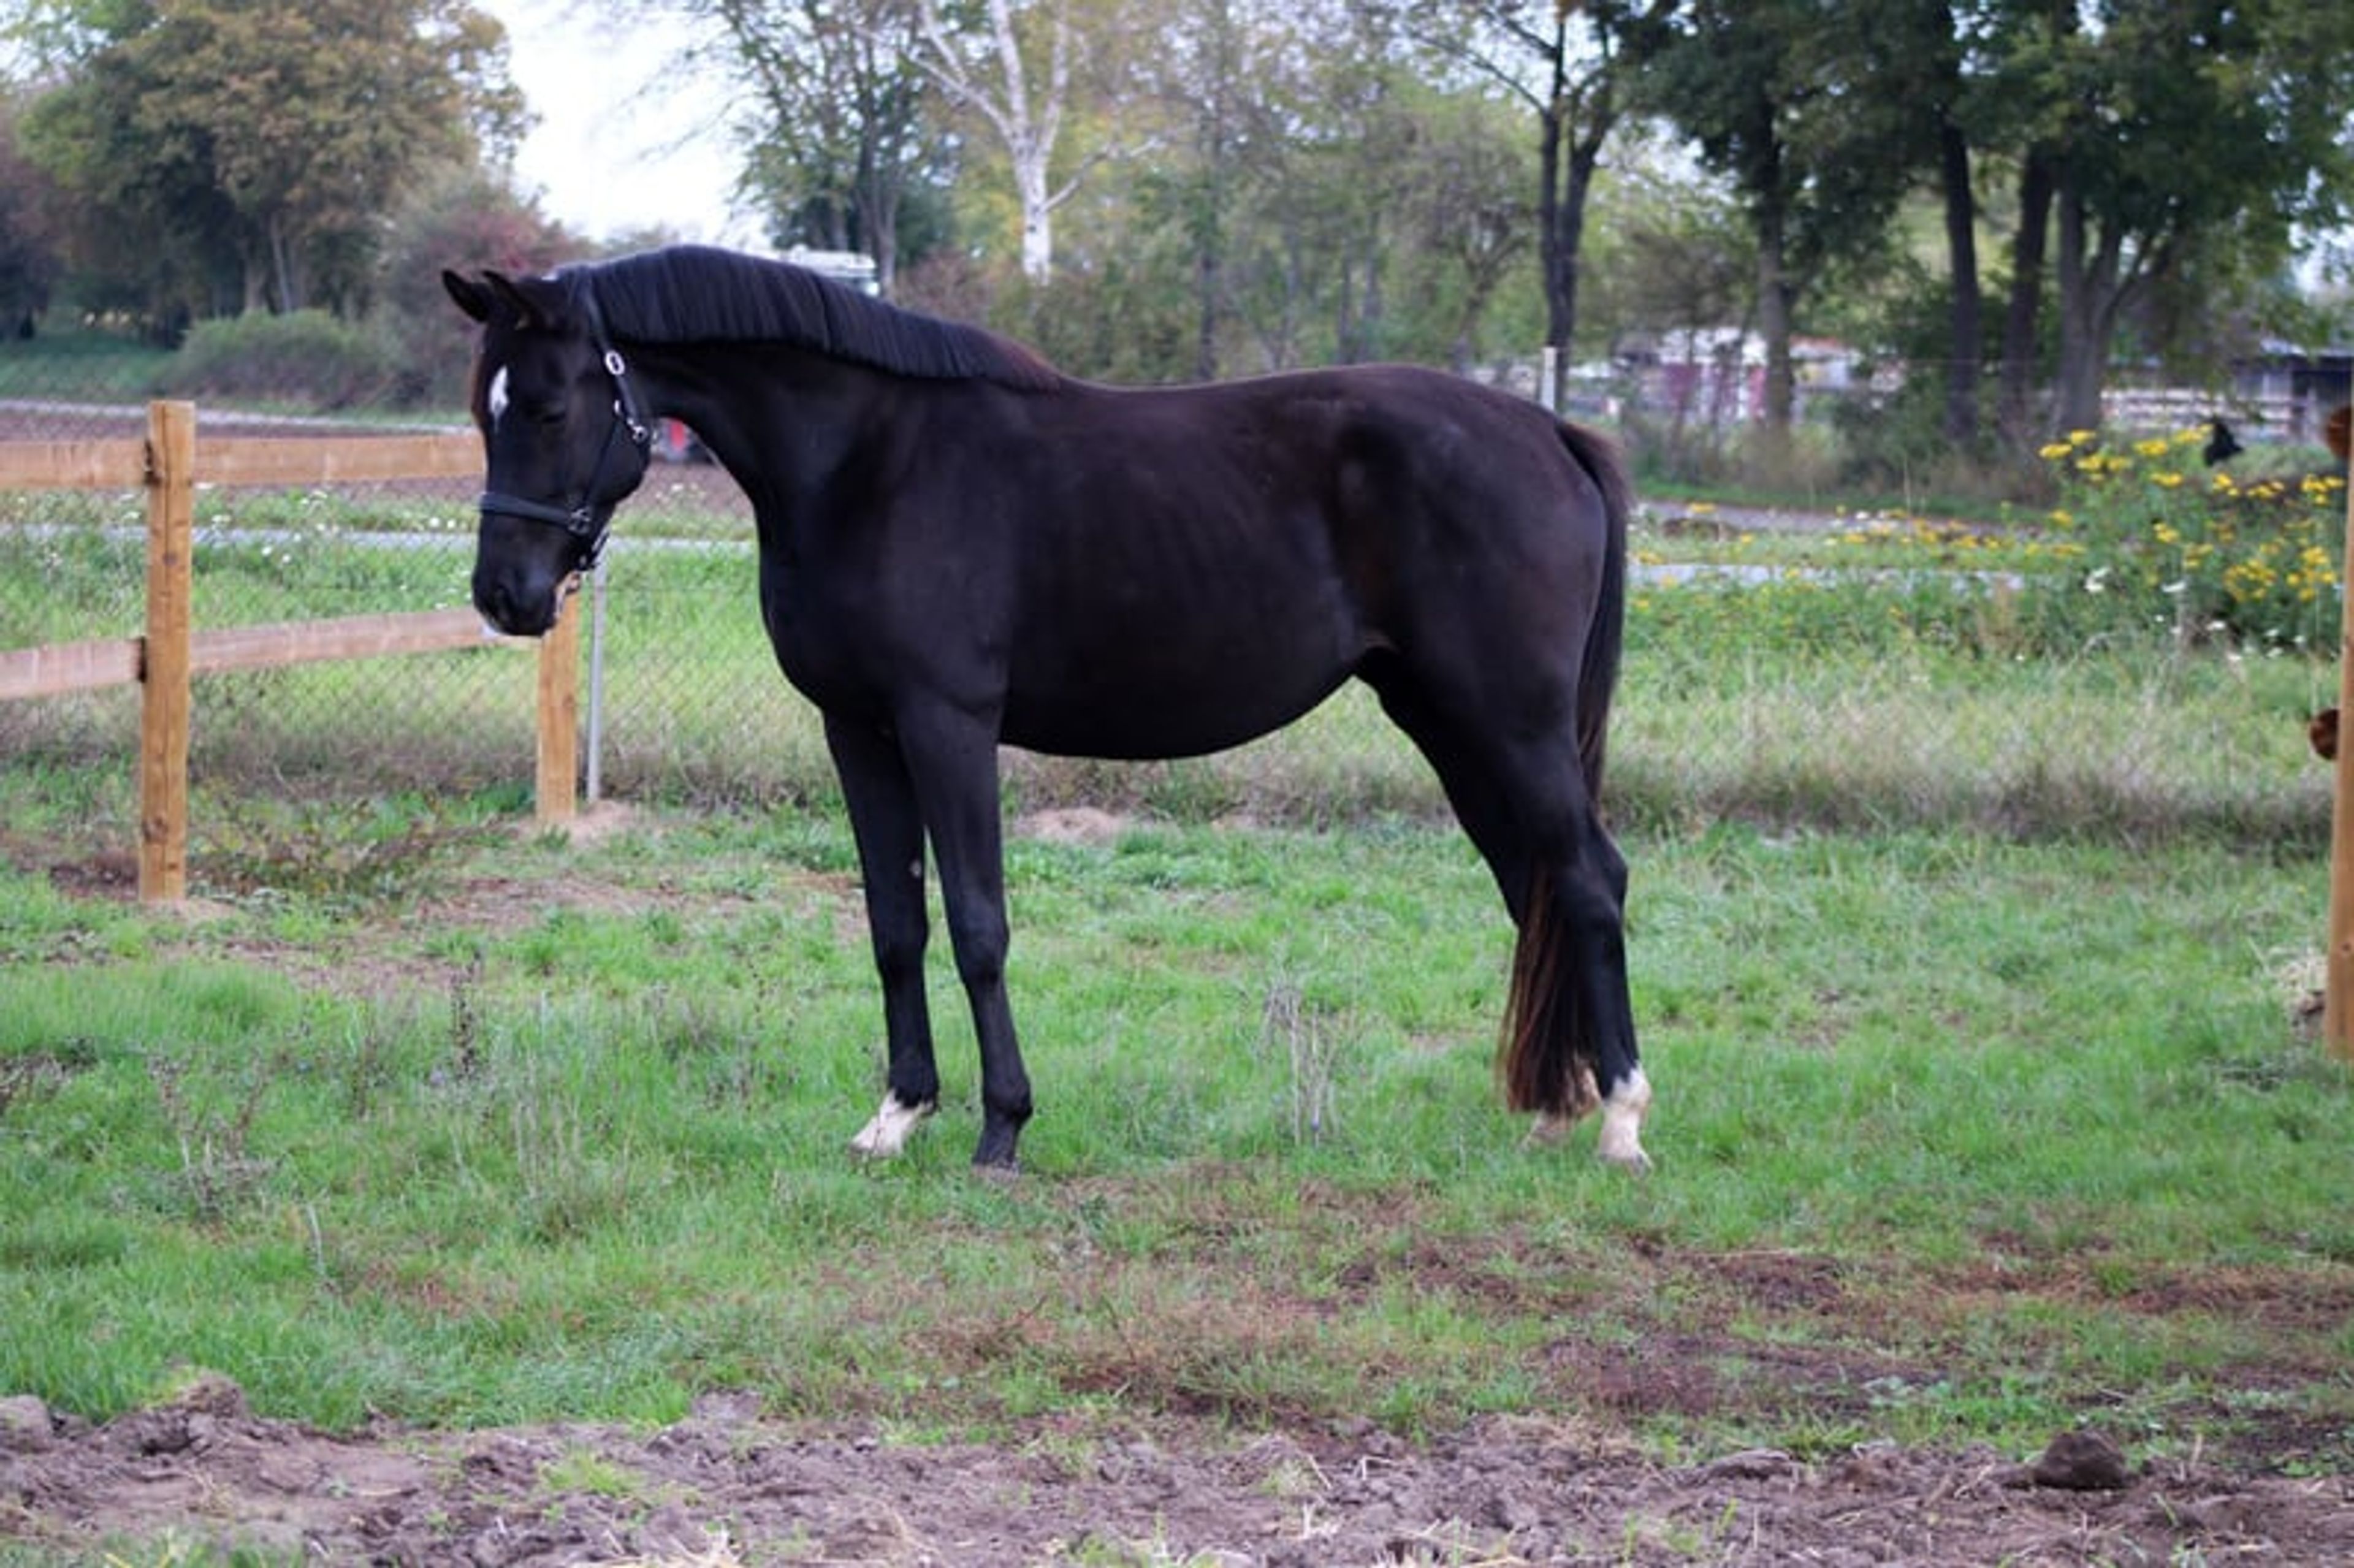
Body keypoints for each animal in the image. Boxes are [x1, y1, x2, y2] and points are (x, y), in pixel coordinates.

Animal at [442, 245, 1650, 1173]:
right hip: (1449, 722)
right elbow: (895, 923)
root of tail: (1550, 433)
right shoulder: (858, 730)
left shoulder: (948, 723)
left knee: (1589, 878)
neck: (868, 463)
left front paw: (1002, 1129)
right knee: (1535, 884)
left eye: (548, 405)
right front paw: (897, 1115)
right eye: (485, 410)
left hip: (1512, 724)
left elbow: (979, 924)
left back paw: (1624, 1120)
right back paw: (1563, 1106)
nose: (505, 597)